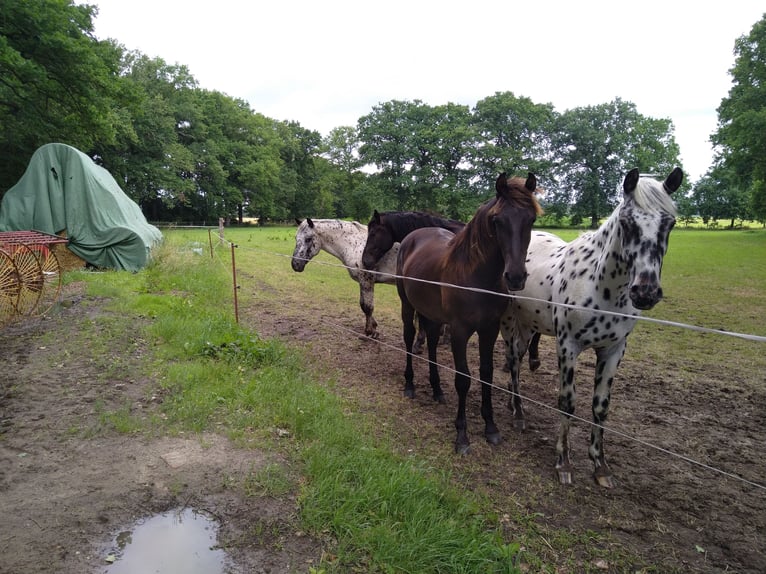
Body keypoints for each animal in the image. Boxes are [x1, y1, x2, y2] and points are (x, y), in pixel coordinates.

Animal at [396, 171, 544, 454]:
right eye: (497, 220)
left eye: (531, 219)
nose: (516, 277)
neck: (476, 277)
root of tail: (413, 235)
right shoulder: (460, 331)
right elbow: (463, 378)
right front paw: (462, 436)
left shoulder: (490, 329)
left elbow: (486, 374)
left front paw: (491, 428)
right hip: (407, 306)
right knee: (409, 339)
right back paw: (409, 385)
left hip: (433, 316)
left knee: (432, 344)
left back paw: (437, 390)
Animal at [500, 168, 688, 490]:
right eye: (626, 222)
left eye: (670, 224)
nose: (646, 292)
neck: (602, 286)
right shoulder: (568, 347)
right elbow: (567, 402)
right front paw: (563, 462)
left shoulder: (613, 350)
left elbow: (600, 406)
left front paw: (600, 465)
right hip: (513, 323)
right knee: (513, 362)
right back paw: (519, 413)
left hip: (528, 325)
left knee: (520, 360)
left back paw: (516, 407)